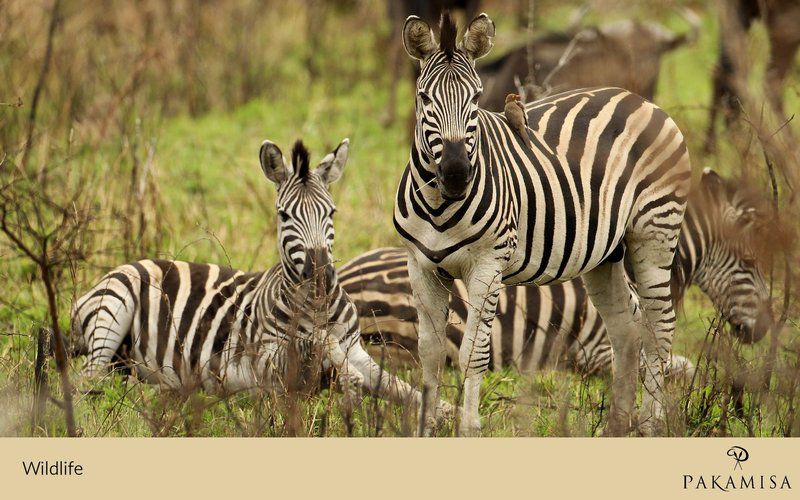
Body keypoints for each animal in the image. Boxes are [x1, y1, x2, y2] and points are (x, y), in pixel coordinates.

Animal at [72, 140, 444, 414]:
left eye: (332, 212)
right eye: (284, 215)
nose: (321, 277)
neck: (317, 307)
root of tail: (126, 265)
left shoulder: (357, 350)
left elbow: (404, 389)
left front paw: (442, 414)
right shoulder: (266, 361)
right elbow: (321, 342)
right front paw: (348, 383)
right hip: (113, 311)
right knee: (88, 384)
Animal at [396, 10, 692, 434]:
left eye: (476, 98)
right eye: (424, 98)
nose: (455, 174)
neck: (440, 206)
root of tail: (640, 100)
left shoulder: (487, 267)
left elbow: (471, 355)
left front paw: (468, 430)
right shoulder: (421, 268)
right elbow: (431, 355)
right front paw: (425, 430)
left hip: (655, 231)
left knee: (659, 329)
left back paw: (651, 426)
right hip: (604, 255)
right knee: (627, 328)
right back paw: (617, 427)